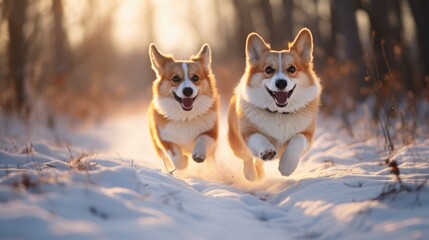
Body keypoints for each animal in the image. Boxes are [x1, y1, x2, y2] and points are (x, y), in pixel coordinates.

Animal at [149, 44, 219, 172]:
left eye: (195, 78)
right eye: (175, 78)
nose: (187, 91)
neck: (185, 117)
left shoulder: (211, 132)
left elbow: (202, 139)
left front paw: (199, 155)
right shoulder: (164, 139)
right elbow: (177, 158)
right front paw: (184, 161)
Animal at [227, 28, 320, 181]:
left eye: (292, 69)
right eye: (268, 70)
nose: (281, 83)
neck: (279, 113)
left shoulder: (307, 134)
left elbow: (297, 140)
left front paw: (286, 167)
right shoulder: (248, 132)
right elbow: (258, 138)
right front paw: (267, 151)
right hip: (236, 143)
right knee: (247, 157)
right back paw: (251, 174)